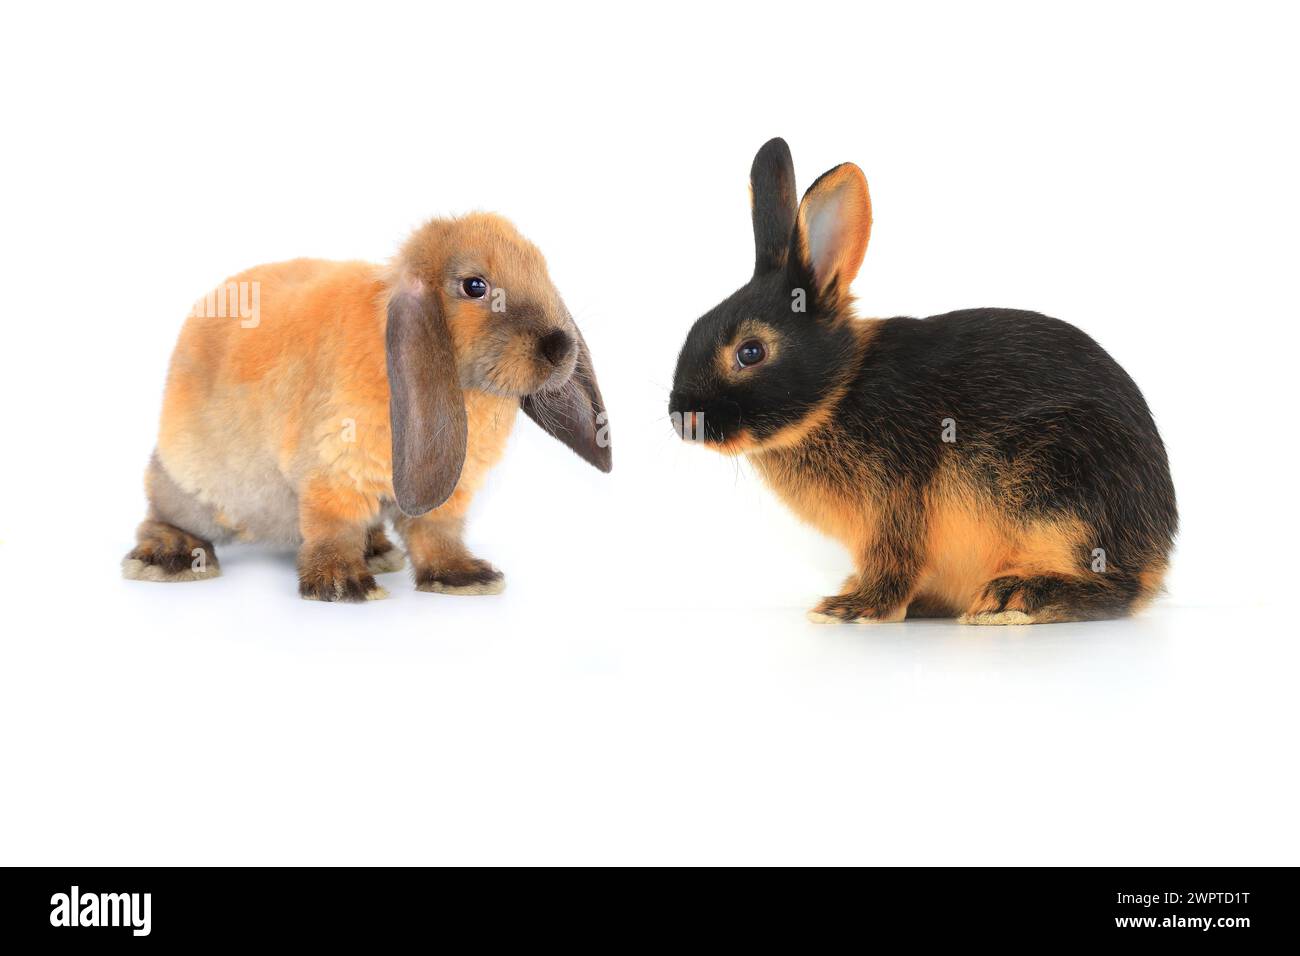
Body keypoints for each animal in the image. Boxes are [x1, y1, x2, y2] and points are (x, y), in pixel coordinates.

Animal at [123, 212, 611, 601]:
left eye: (543, 271)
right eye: (475, 286)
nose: (560, 347)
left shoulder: (447, 495)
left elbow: (438, 533)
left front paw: (463, 577)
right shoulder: (332, 474)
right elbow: (333, 529)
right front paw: (342, 585)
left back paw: (378, 550)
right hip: (192, 489)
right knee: (160, 513)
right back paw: (171, 558)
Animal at [668, 138, 1176, 625]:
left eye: (750, 352)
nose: (681, 418)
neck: (840, 391)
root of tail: (1159, 547)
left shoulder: (895, 503)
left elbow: (894, 559)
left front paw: (850, 608)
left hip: (1060, 484)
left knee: (1117, 590)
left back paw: (1012, 599)